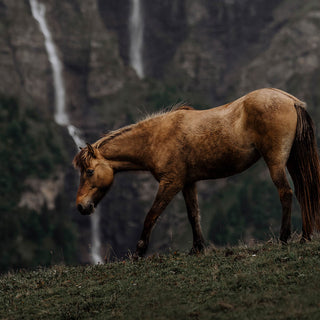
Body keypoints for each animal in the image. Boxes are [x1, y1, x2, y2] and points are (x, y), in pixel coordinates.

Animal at [74, 87, 320, 258]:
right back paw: (305, 236)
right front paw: (197, 248)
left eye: (89, 171)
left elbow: (151, 215)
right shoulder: (188, 183)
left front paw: (139, 252)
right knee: (302, 192)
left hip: (275, 161)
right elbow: (194, 214)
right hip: (291, 161)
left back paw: (284, 238)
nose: (81, 206)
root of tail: (290, 100)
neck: (155, 138)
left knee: (286, 193)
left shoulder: (171, 183)